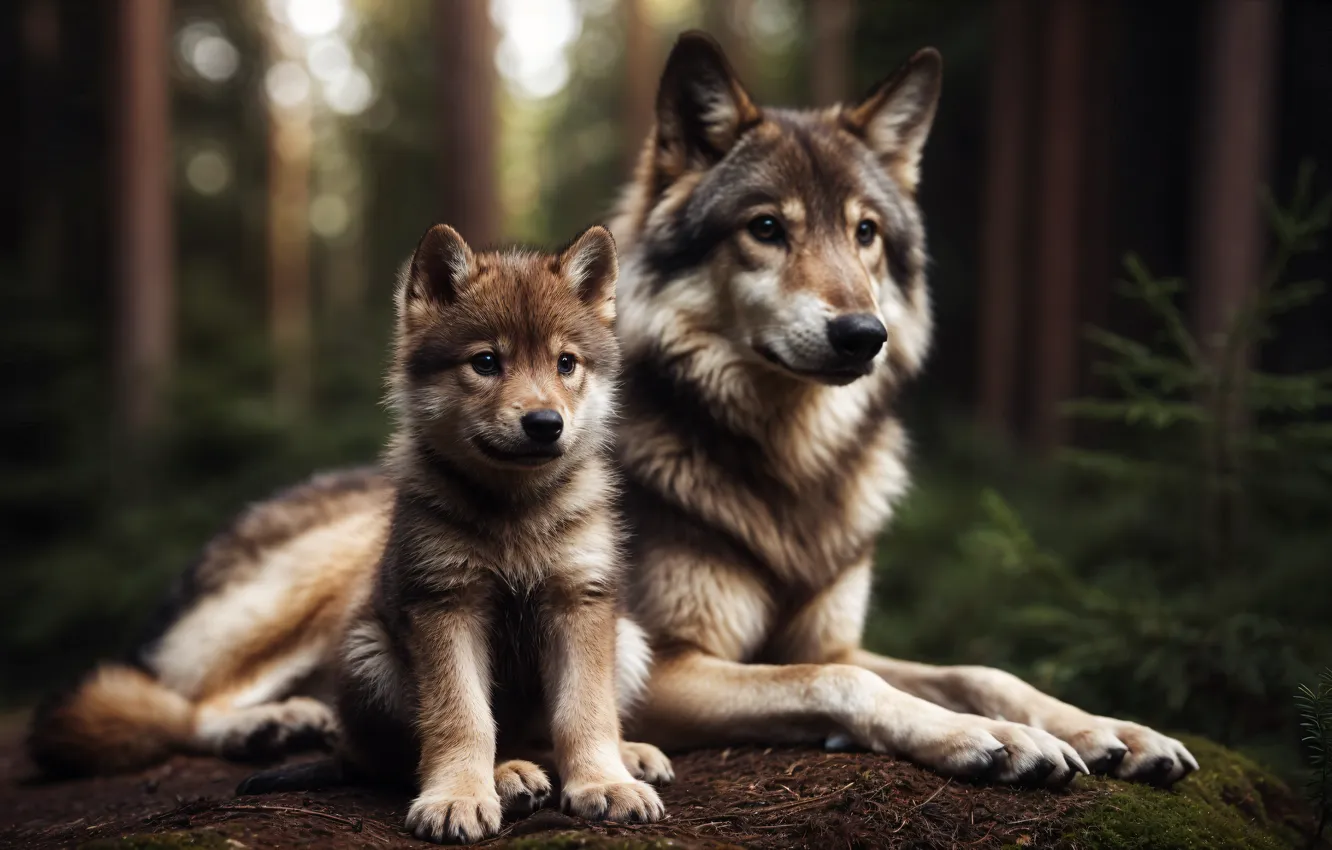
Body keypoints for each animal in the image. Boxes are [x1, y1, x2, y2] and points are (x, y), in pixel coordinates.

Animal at [28, 32, 1196, 789]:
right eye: (766, 228)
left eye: (866, 233)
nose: (861, 334)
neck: (785, 469)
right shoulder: (673, 664)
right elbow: (845, 688)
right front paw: (985, 742)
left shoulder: (836, 633)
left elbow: (978, 668)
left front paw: (1108, 730)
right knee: (179, 703)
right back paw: (278, 724)